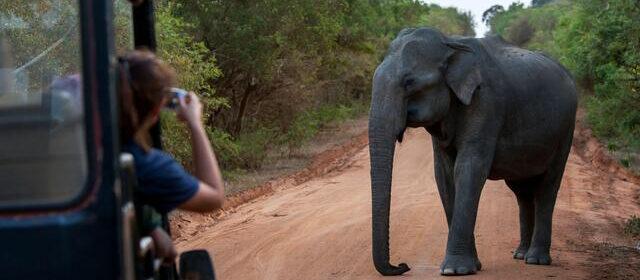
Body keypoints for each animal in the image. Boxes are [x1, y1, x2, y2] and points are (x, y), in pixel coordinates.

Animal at [368, 27, 576, 276]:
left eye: (409, 82)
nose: (403, 265)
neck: (450, 45)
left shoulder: (486, 103)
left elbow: (468, 169)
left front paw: (454, 270)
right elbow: (444, 175)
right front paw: (470, 266)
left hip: (566, 129)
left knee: (547, 186)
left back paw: (536, 260)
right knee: (522, 191)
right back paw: (520, 254)